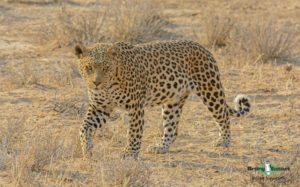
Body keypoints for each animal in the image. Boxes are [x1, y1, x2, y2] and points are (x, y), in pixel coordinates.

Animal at [75, 40, 251, 159]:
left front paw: (130, 153)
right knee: (172, 129)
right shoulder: (100, 107)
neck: (110, 84)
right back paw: (161, 147)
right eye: (88, 68)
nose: (96, 83)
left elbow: (133, 133)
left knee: (223, 116)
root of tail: (203, 47)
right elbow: (84, 126)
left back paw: (224, 141)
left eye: (106, 68)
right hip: (173, 102)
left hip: (210, 89)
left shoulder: (135, 107)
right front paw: (87, 149)